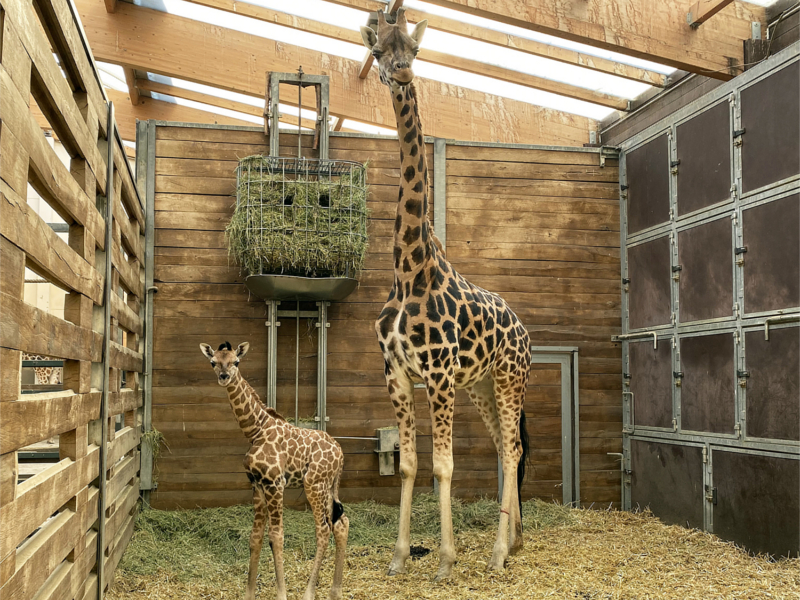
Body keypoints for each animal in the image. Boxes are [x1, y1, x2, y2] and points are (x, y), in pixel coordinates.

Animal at [199, 342, 346, 600]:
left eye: (236, 361)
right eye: (213, 362)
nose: (224, 376)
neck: (255, 430)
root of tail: (340, 454)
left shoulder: (275, 483)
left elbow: (276, 537)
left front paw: (282, 594)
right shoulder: (257, 485)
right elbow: (255, 537)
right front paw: (248, 593)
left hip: (314, 484)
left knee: (323, 529)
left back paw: (309, 593)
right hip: (328, 486)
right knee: (341, 523)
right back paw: (334, 591)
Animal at [362, 8, 532, 580]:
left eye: (413, 49)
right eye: (378, 49)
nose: (402, 74)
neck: (409, 270)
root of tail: (524, 329)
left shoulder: (437, 374)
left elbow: (443, 465)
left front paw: (445, 559)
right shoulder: (397, 374)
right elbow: (411, 464)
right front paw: (398, 557)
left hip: (508, 378)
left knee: (514, 446)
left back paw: (499, 552)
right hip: (480, 385)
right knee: (506, 447)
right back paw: (514, 541)